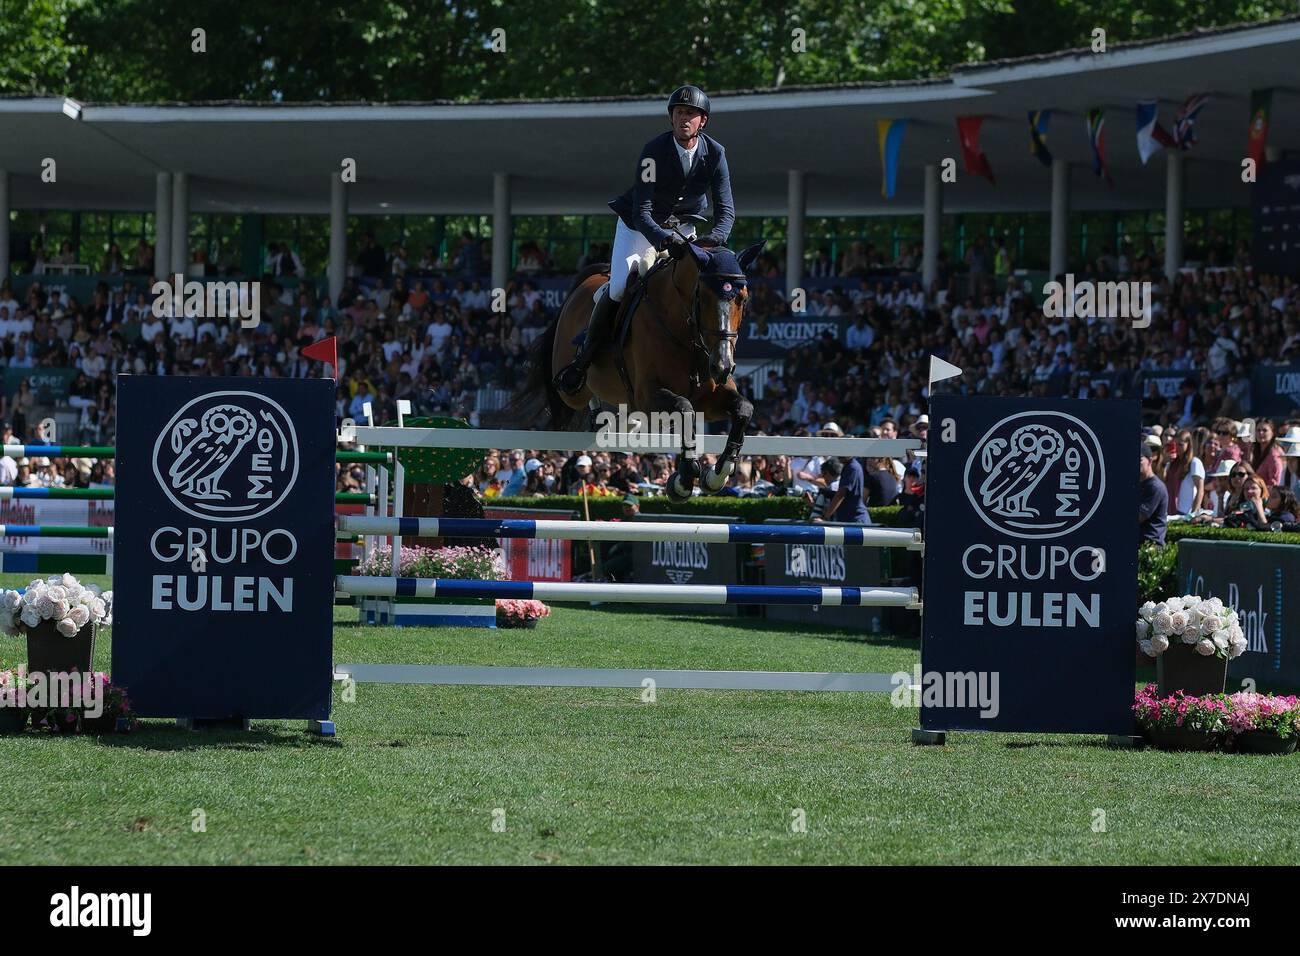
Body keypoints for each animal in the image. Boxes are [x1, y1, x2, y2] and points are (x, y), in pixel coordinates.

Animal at [517, 239, 759, 502]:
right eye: (702, 297)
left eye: (743, 299)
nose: (722, 366)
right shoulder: (647, 395)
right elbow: (685, 408)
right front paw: (683, 480)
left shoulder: (709, 398)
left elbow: (744, 410)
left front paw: (717, 475)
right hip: (571, 390)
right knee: (580, 388)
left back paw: (616, 423)